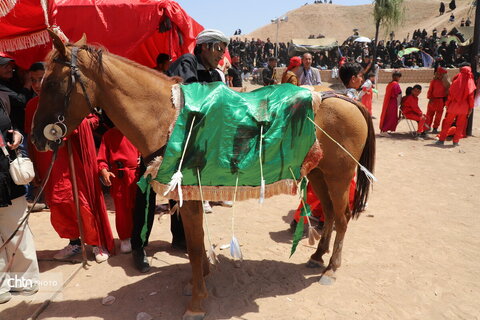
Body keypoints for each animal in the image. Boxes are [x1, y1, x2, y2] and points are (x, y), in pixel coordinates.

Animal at [32, 31, 376, 318]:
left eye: (50, 85)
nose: (37, 138)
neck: (167, 118)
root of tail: (343, 97)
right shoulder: (190, 196)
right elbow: (195, 243)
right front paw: (201, 281)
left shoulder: (190, 196)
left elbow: (195, 248)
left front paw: (197, 301)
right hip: (318, 173)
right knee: (329, 214)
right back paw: (317, 256)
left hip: (339, 176)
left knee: (342, 217)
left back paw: (330, 269)